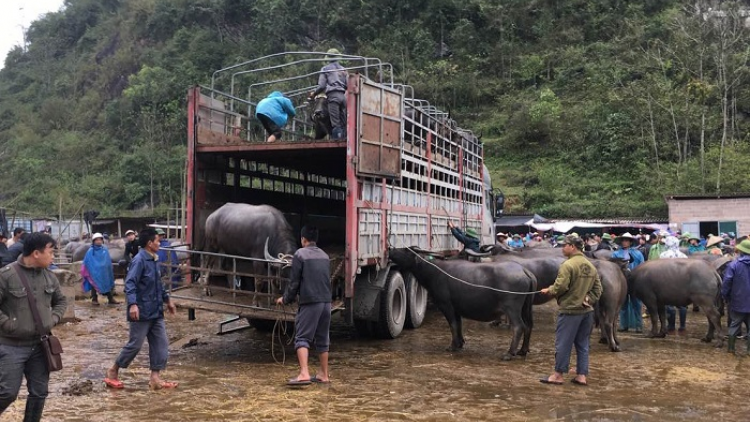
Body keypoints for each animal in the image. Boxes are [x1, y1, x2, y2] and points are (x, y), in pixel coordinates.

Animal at [384, 247, 536, 360]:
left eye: (405, 250)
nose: (390, 249)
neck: (434, 270)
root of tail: (524, 271)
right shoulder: (456, 308)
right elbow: (459, 324)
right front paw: (460, 343)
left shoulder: (446, 305)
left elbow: (453, 325)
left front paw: (452, 346)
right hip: (525, 307)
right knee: (528, 325)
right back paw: (523, 350)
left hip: (512, 308)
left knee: (519, 326)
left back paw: (509, 353)